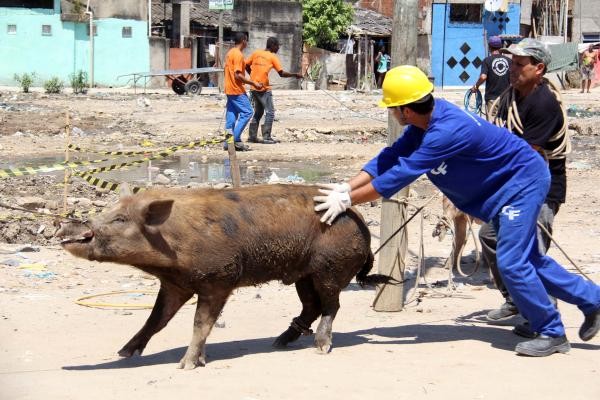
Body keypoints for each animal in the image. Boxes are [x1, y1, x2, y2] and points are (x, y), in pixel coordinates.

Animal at [56, 184, 390, 368]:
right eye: (106, 212)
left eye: (120, 219)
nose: (65, 226)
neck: (172, 245)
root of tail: (362, 222)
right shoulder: (175, 284)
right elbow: (156, 319)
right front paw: (124, 352)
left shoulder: (218, 279)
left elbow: (200, 323)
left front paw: (187, 365)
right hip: (302, 274)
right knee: (311, 306)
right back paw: (279, 342)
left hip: (330, 267)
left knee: (331, 306)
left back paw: (321, 346)